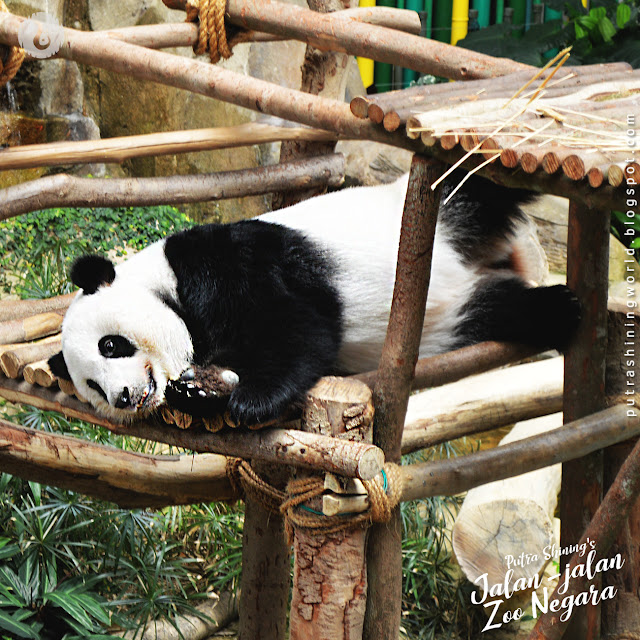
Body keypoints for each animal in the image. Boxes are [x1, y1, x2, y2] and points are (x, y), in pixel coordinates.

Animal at [48, 172, 580, 428]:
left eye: (110, 345)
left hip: (441, 204)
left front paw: (251, 400)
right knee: (496, 309)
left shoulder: (217, 263)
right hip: (452, 318)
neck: (159, 281)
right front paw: (200, 390)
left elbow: (294, 323)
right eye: (91, 386)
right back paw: (555, 310)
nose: (123, 396)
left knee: (482, 181)